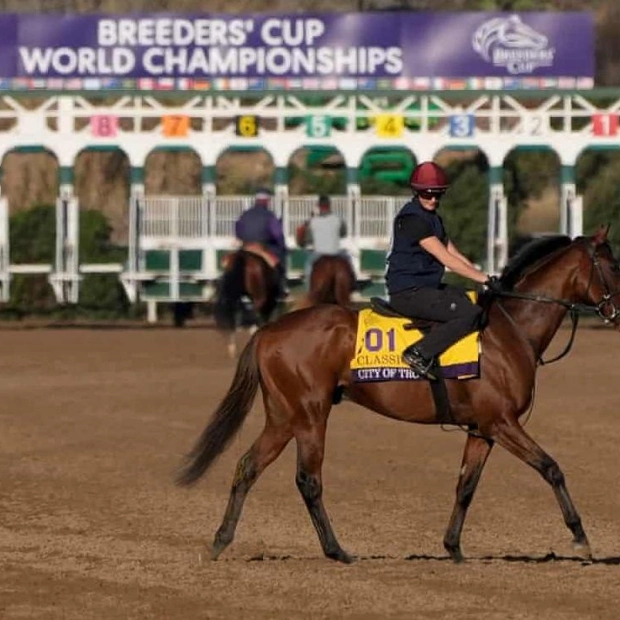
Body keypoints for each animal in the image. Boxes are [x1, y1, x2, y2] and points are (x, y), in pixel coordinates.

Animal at [179, 230, 620, 564]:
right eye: (612, 265)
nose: (618, 312)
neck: (510, 329)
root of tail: (269, 330)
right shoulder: (502, 423)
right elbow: (551, 468)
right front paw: (581, 538)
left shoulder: (482, 430)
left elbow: (466, 486)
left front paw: (453, 548)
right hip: (309, 416)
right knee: (308, 480)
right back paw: (336, 550)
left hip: (284, 417)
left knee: (247, 467)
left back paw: (221, 541)